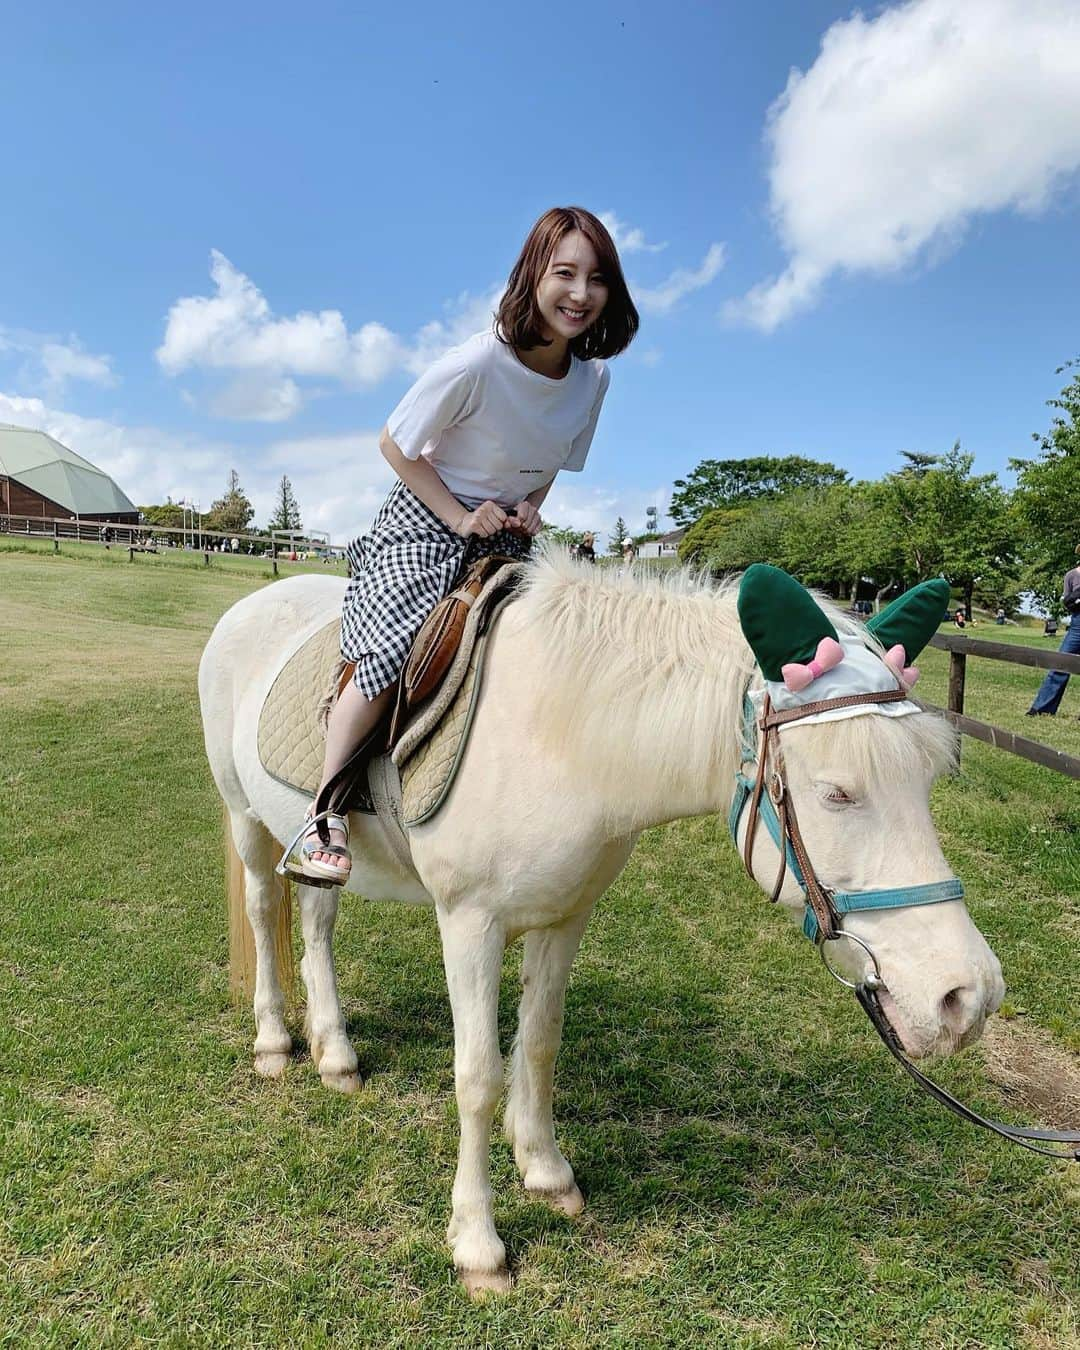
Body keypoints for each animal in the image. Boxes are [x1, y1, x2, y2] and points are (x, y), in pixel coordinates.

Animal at [199, 550, 1004, 1296]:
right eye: (837, 792)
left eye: (929, 780)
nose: (967, 997)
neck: (556, 737)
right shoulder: (470, 923)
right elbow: (478, 1076)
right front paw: (479, 1245)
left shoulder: (565, 916)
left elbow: (539, 1045)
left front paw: (547, 1173)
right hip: (244, 817)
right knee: (264, 912)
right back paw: (274, 1040)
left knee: (316, 922)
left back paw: (335, 1052)